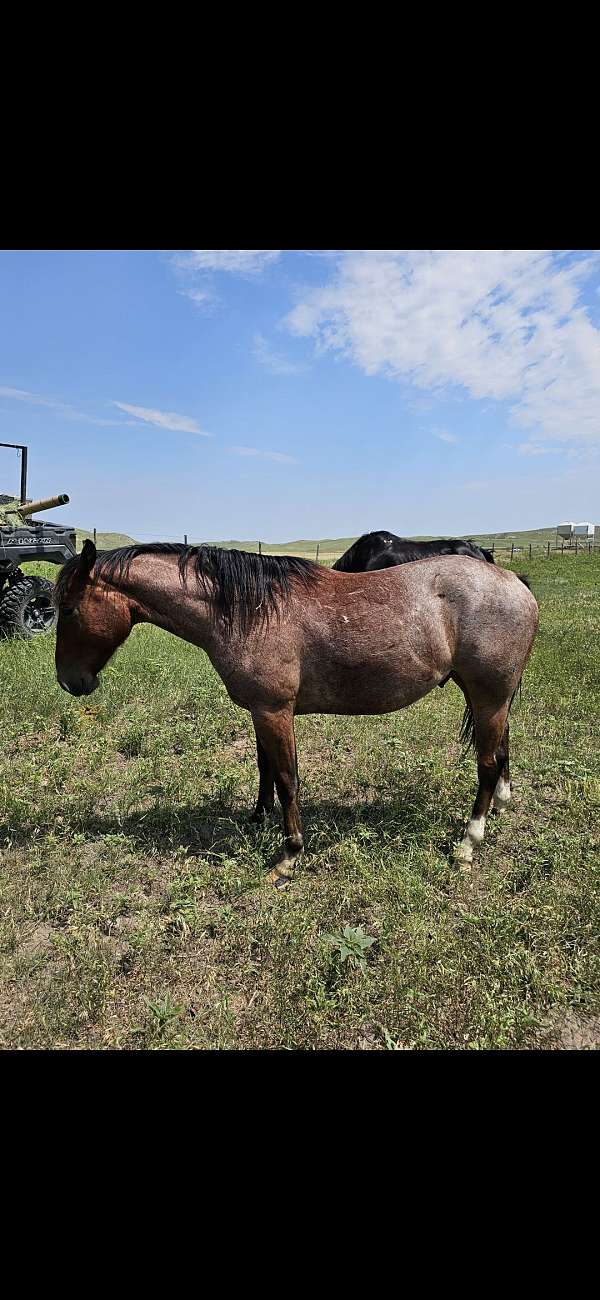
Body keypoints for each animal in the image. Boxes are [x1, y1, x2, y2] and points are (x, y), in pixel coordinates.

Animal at [54, 540, 539, 884]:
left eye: (70, 609)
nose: (68, 681)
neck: (249, 611)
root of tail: (514, 581)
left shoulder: (275, 711)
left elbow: (287, 778)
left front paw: (289, 853)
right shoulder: (260, 710)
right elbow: (265, 767)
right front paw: (257, 817)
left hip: (489, 696)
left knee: (487, 764)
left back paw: (468, 842)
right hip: (489, 697)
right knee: (501, 752)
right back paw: (499, 805)